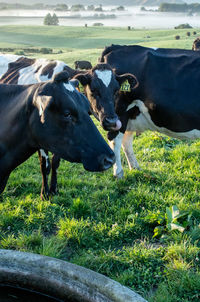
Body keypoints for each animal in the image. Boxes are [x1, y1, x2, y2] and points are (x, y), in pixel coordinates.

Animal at [0, 53, 136, 197]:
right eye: (93, 89)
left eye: (116, 90)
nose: (112, 121)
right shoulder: (42, 139)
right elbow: (45, 166)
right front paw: (45, 193)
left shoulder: (61, 141)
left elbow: (55, 163)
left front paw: (54, 189)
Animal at [100, 43, 200, 178]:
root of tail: (118, 46)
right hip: (118, 111)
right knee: (114, 139)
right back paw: (119, 173)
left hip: (131, 114)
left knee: (126, 139)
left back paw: (135, 168)